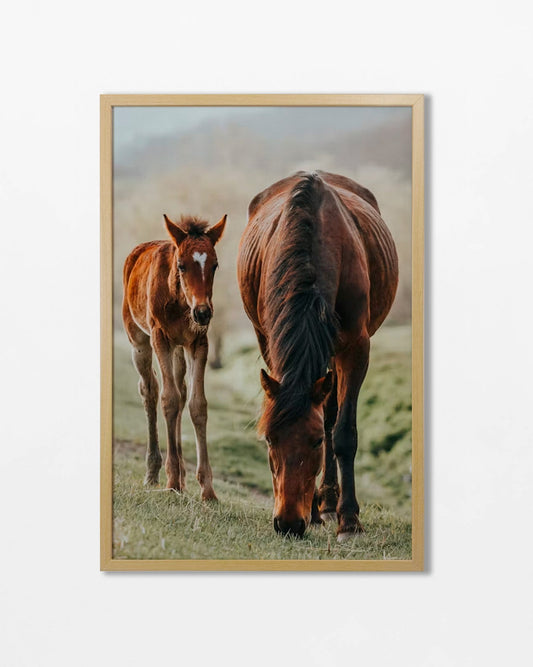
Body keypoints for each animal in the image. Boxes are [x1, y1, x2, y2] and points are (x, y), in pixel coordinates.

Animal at [122, 213, 226, 500]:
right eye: (181, 265)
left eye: (214, 265)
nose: (203, 313)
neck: (181, 302)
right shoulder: (160, 338)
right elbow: (167, 399)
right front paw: (171, 481)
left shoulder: (198, 342)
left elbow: (197, 404)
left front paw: (207, 489)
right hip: (139, 341)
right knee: (150, 390)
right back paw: (154, 471)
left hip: (179, 349)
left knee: (181, 392)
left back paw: (181, 474)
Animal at [237, 171, 398, 540]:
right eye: (269, 439)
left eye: (314, 443)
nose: (288, 523)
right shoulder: (271, 342)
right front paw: (313, 511)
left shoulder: (356, 346)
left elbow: (342, 433)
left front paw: (349, 520)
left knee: (332, 413)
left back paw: (331, 503)